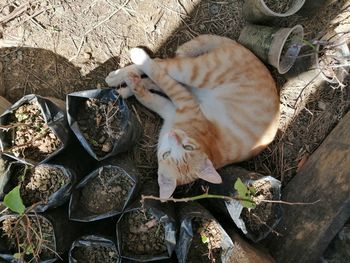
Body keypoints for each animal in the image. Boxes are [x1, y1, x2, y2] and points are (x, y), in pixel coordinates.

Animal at [104, 34, 278, 200]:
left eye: (187, 148)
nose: (174, 135)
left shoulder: (174, 106)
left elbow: (150, 96)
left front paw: (134, 87)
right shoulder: (180, 103)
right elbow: (159, 80)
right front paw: (130, 82)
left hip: (193, 75)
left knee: (159, 72)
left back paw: (125, 83)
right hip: (194, 73)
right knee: (160, 64)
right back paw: (122, 72)